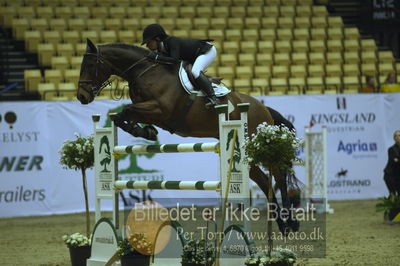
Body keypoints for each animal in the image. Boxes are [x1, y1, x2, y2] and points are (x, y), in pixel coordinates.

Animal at [76, 38, 298, 234]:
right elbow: (123, 115)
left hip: (255, 144)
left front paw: (142, 131)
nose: (81, 97)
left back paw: (291, 222)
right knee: (264, 181)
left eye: (90, 64)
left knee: (278, 175)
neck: (143, 72)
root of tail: (263, 108)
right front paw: (146, 132)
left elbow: (127, 111)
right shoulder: (151, 112)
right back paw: (282, 224)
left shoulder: (161, 110)